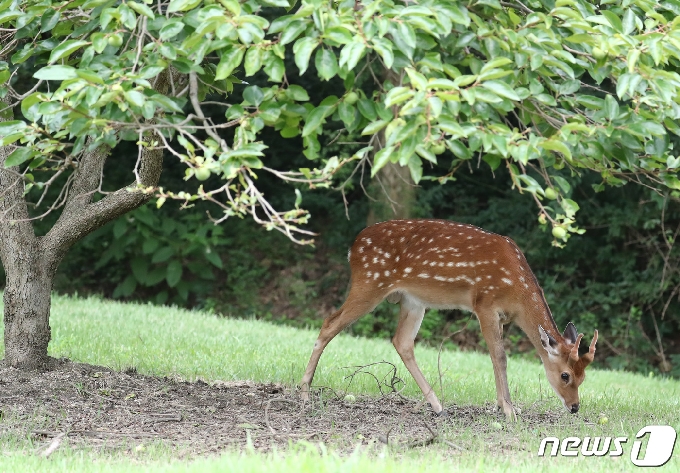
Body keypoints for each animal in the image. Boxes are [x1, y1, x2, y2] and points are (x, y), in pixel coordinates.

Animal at [300, 218, 596, 416]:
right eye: (566, 375)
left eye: (583, 377)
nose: (574, 407)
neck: (517, 292)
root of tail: (353, 247)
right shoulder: (484, 304)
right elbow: (499, 356)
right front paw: (509, 410)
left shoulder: (501, 317)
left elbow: (497, 356)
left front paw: (504, 405)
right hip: (370, 282)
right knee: (329, 323)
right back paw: (304, 392)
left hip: (412, 300)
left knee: (401, 341)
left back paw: (438, 405)